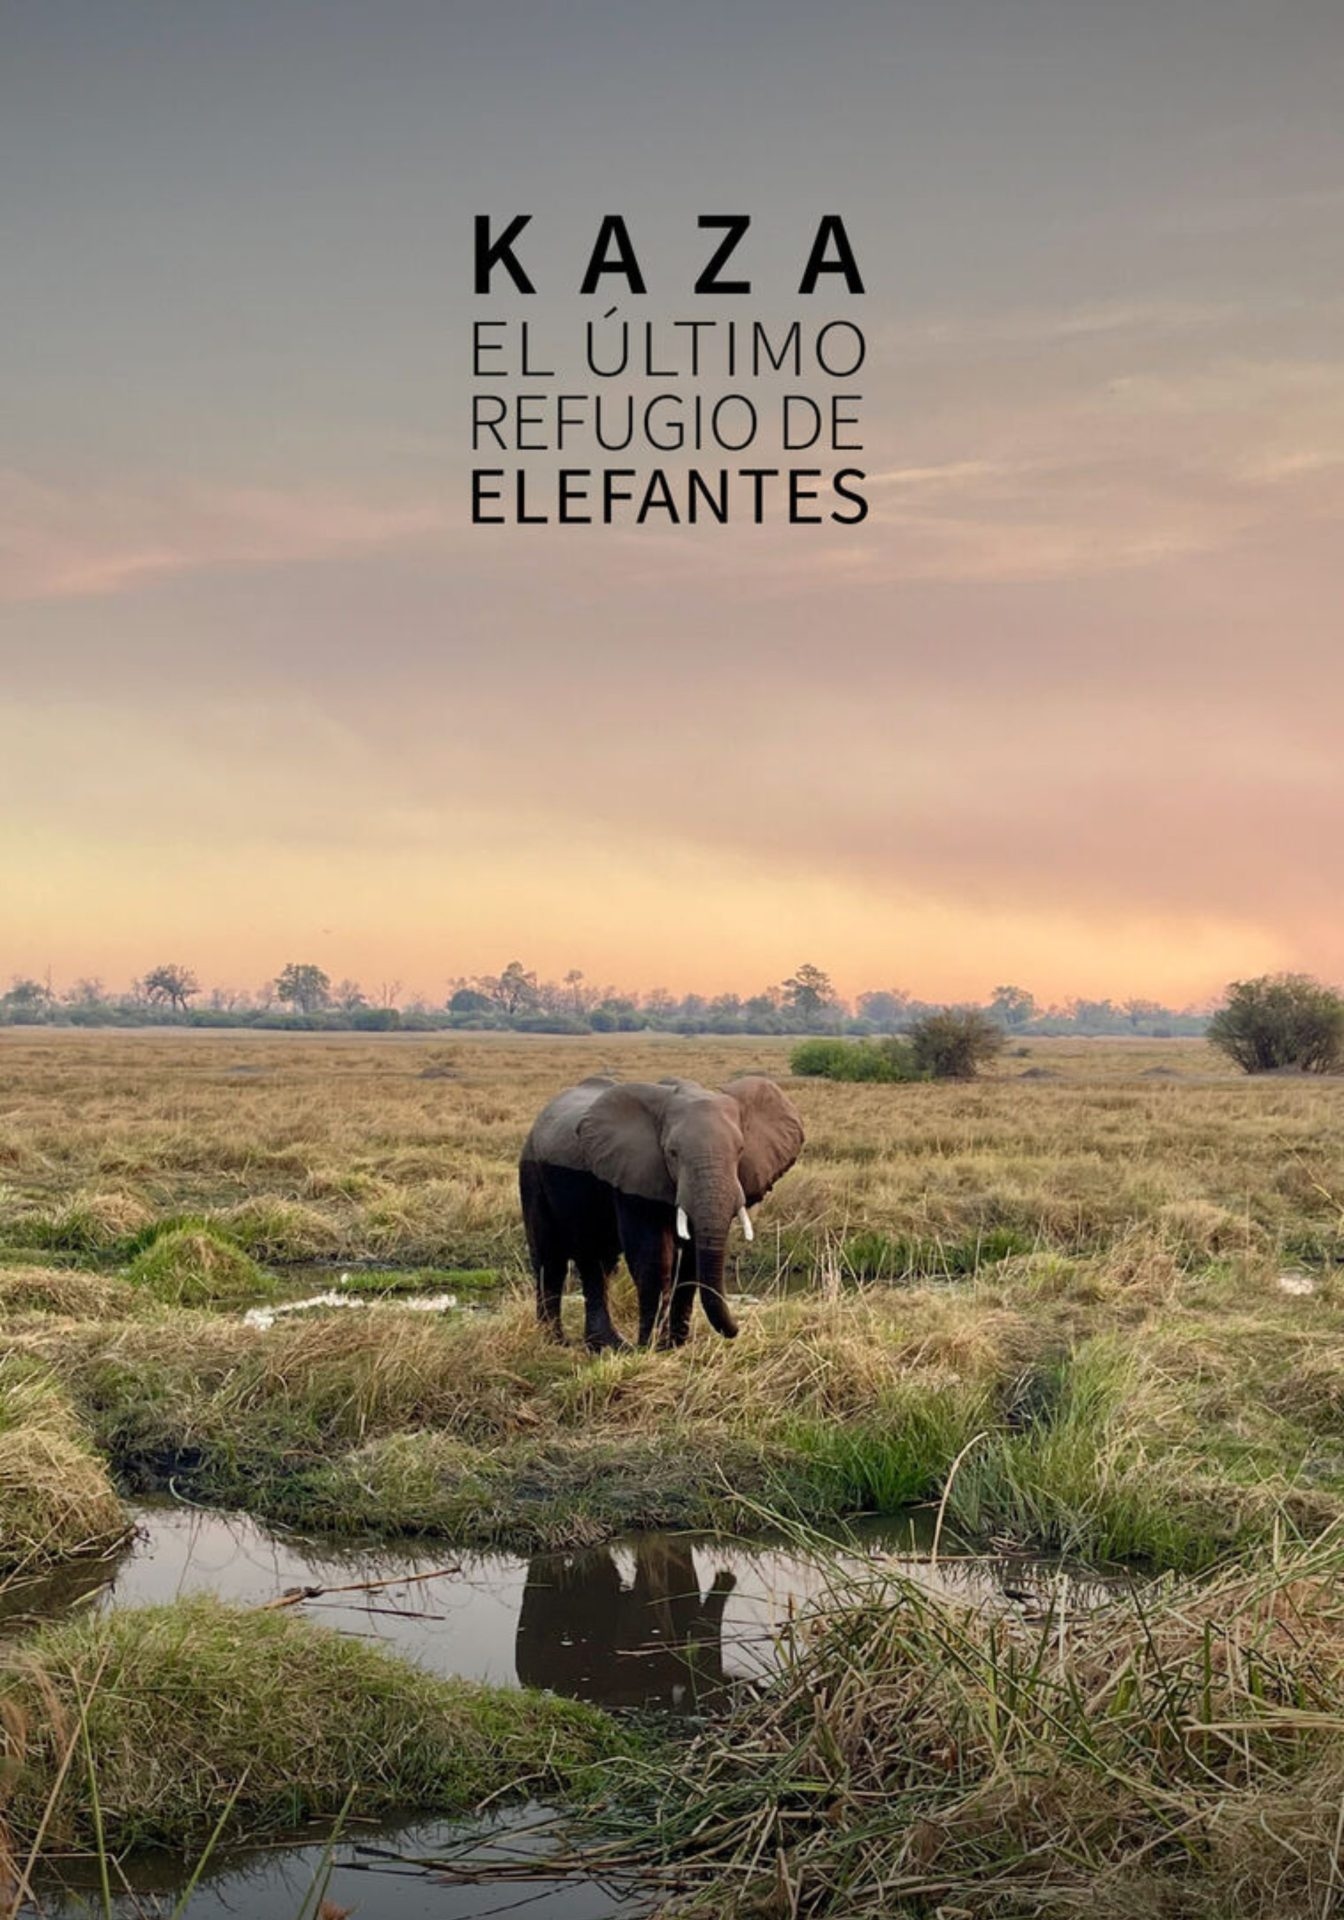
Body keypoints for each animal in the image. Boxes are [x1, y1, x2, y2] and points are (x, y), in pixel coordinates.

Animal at [518, 1073, 804, 1350]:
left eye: (741, 1150)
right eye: (672, 1153)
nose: (737, 1330)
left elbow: (690, 1263)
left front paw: (674, 1345)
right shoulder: (635, 1176)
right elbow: (653, 1257)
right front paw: (650, 1348)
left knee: (599, 1262)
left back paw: (606, 1345)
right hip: (531, 1175)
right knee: (550, 1260)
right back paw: (557, 1342)